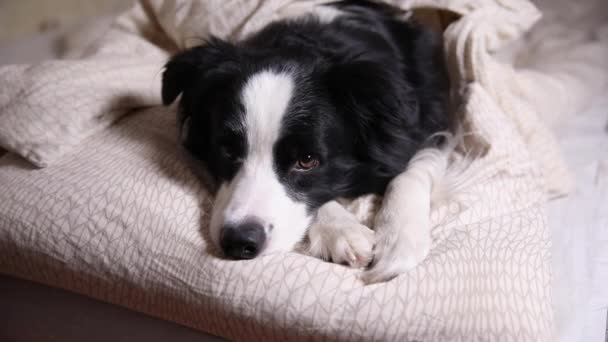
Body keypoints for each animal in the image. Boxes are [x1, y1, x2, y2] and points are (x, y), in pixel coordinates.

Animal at [162, 0, 452, 284]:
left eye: (307, 160)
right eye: (227, 149)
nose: (238, 242)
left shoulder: (431, 125)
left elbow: (410, 172)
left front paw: (398, 242)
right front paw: (343, 230)